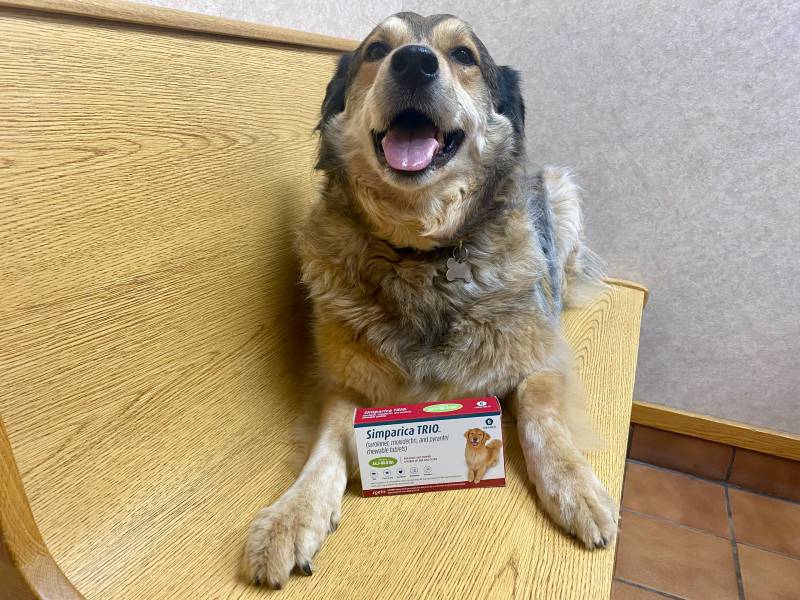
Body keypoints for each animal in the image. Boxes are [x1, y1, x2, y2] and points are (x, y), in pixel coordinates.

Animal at [244, 11, 620, 588]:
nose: (414, 63)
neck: (419, 252)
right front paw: (291, 515)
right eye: (377, 49)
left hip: (561, 194)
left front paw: (577, 489)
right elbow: (325, 447)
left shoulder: (538, 359)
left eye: (463, 55)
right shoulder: (347, 383)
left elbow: (542, 417)